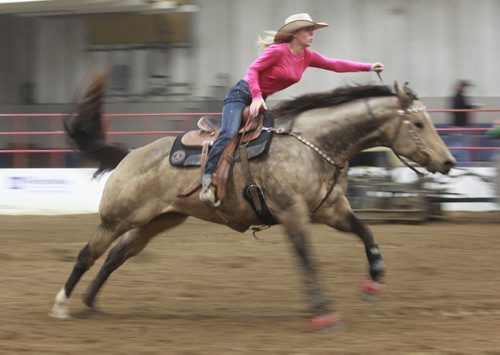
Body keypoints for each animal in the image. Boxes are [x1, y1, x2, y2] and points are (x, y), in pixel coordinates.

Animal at [48, 73, 456, 332]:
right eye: (418, 125)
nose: (449, 162)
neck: (315, 144)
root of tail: (130, 154)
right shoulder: (293, 214)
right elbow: (307, 257)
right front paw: (322, 311)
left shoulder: (331, 211)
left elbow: (366, 231)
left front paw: (374, 281)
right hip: (117, 217)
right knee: (88, 253)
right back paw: (62, 305)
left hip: (158, 221)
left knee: (117, 254)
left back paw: (91, 302)